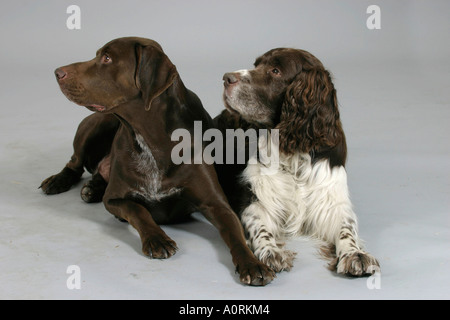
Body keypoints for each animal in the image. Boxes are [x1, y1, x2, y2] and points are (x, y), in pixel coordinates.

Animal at [41, 37, 274, 284]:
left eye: (107, 58)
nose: (57, 72)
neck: (152, 137)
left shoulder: (217, 204)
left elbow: (234, 233)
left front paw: (252, 263)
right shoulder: (114, 199)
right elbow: (138, 210)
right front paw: (157, 239)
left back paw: (92, 187)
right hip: (96, 125)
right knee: (74, 162)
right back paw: (60, 181)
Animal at [214, 48, 380, 278]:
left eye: (275, 70)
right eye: (256, 65)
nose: (226, 78)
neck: (293, 153)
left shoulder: (330, 200)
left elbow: (347, 227)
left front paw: (354, 254)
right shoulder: (253, 200)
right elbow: (259, 226)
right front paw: (270, 251)